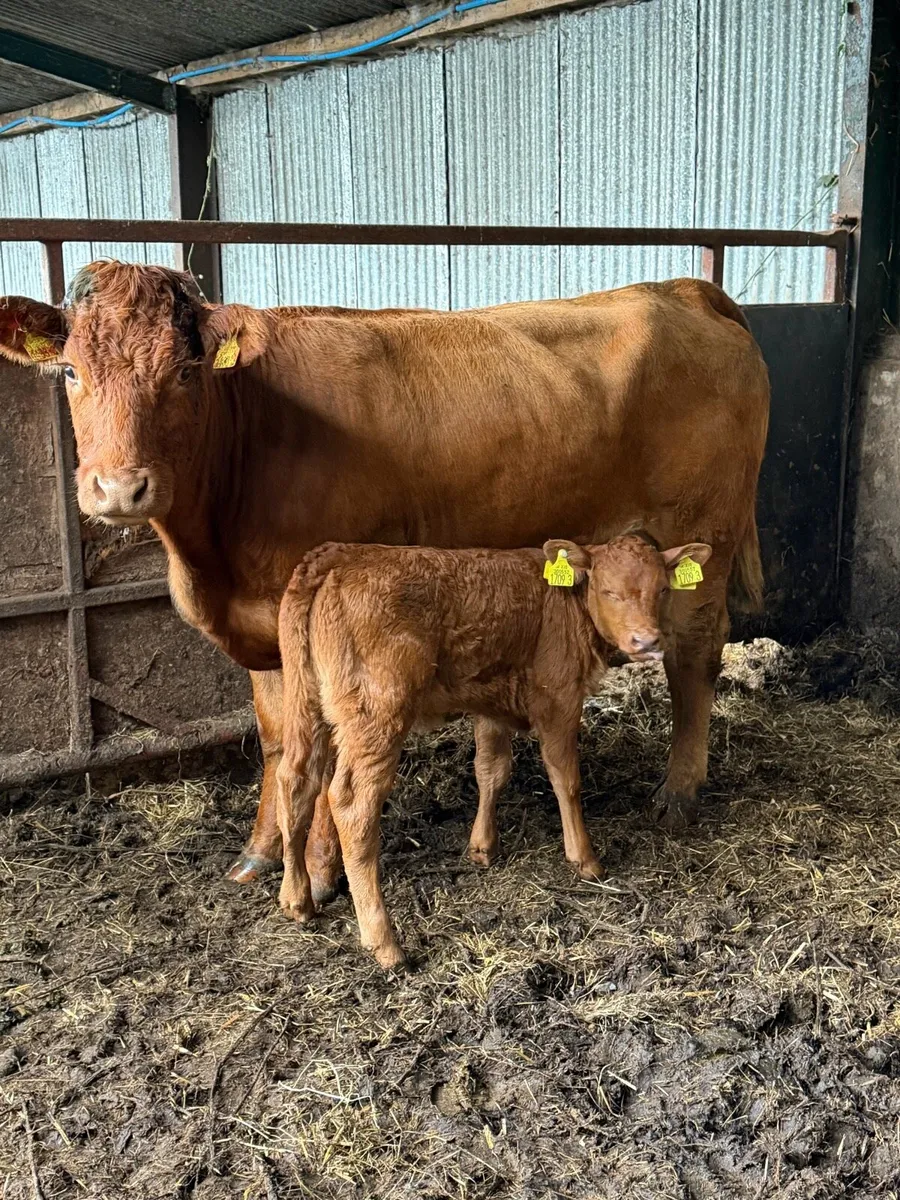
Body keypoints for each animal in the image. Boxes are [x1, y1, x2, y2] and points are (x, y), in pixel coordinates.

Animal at [0, 263, 768, 904]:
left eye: (185, 375)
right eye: (69, 372)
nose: (119, 489)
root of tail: (676, 290)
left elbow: (326, 753)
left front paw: (318, 871)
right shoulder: (268, 632)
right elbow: (279, 741)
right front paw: (260, 853)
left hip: (704, 541)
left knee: (694, 659)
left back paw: (678, 793)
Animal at [276, 535, 713, 968]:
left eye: (662, 589)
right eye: (609, 590)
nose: (648, 641)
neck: (565, 601)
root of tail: (338, 554)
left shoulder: (491, 703)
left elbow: (492, 769)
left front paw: (483, 847)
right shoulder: (557, 697)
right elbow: (565, 778)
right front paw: (584, 859)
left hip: (303, 700)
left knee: (294, 781)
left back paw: (297, 900)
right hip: (378, 710)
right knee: (353, 806)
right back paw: (385, 943)